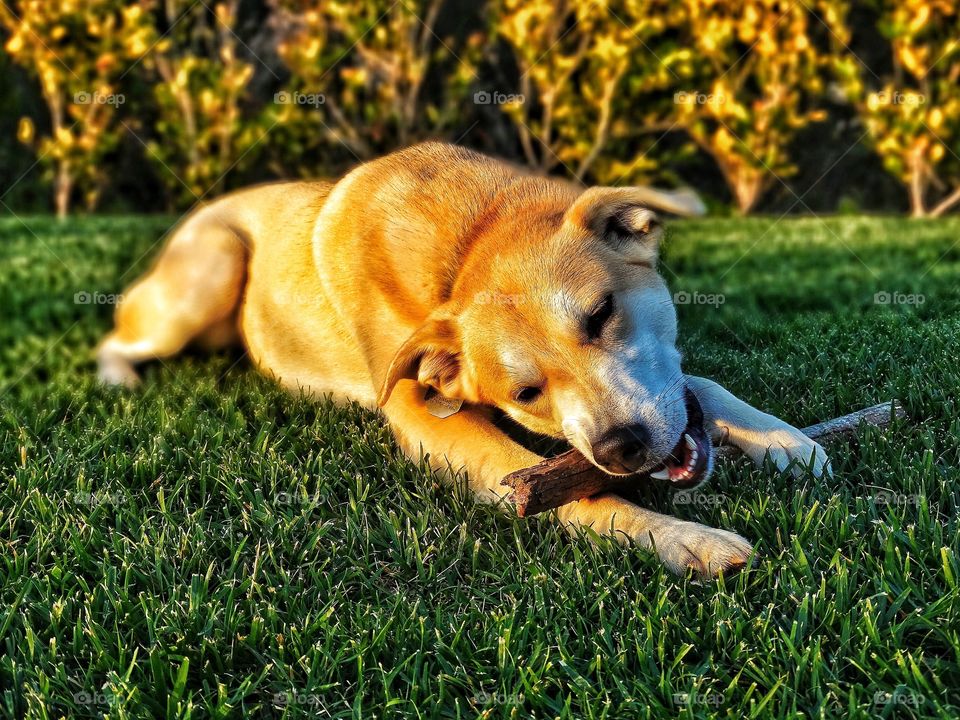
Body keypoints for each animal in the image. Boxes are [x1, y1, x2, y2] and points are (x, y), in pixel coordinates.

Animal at [99, 143, 832, 576]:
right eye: (525, 394)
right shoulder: (427, 419)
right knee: (116, 336)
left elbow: (696, 383)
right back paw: (118, 380)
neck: (472, 237)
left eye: (601, 314)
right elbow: (558, 487)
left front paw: (782, 440)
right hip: (214, 266)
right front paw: (684, 540)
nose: (620, 447)